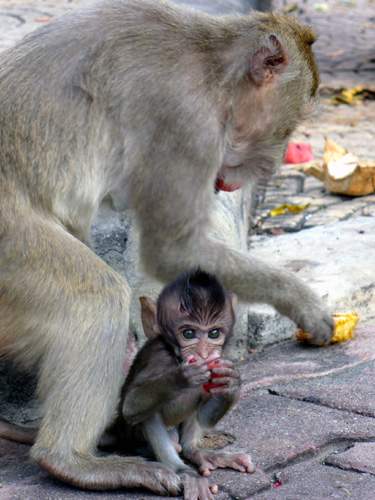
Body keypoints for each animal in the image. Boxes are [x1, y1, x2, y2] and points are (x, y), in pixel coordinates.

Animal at [0, 0, 334, 494]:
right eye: (287, 124)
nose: (270, 165)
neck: (215, 64)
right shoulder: (187, 121)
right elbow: (171, 250)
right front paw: (304, 302)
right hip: (9, 241)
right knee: (96, 297)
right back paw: (71, 461)